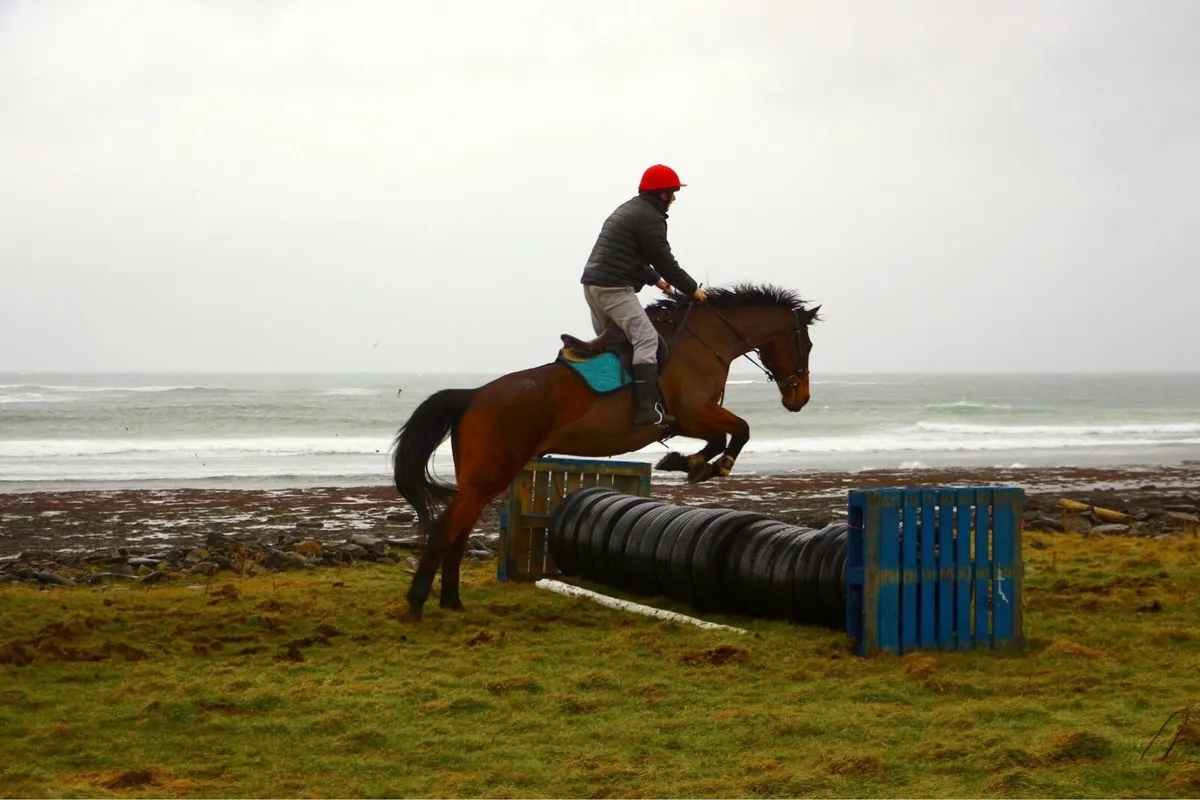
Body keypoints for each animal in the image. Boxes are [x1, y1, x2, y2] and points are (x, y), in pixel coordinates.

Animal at [390, 282, 821, 619]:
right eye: (807, 345)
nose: (800, 399)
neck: (707, 341)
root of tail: (474, 395)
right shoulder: (695, 414)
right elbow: (739, 431)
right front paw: (705, 465)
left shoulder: (692, 420)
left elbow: (725, 436)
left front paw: (687, 462)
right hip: (491, 474)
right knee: (446, 529)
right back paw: (416, 604)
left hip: (481, 478)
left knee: (459, 531)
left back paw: (452, 601)